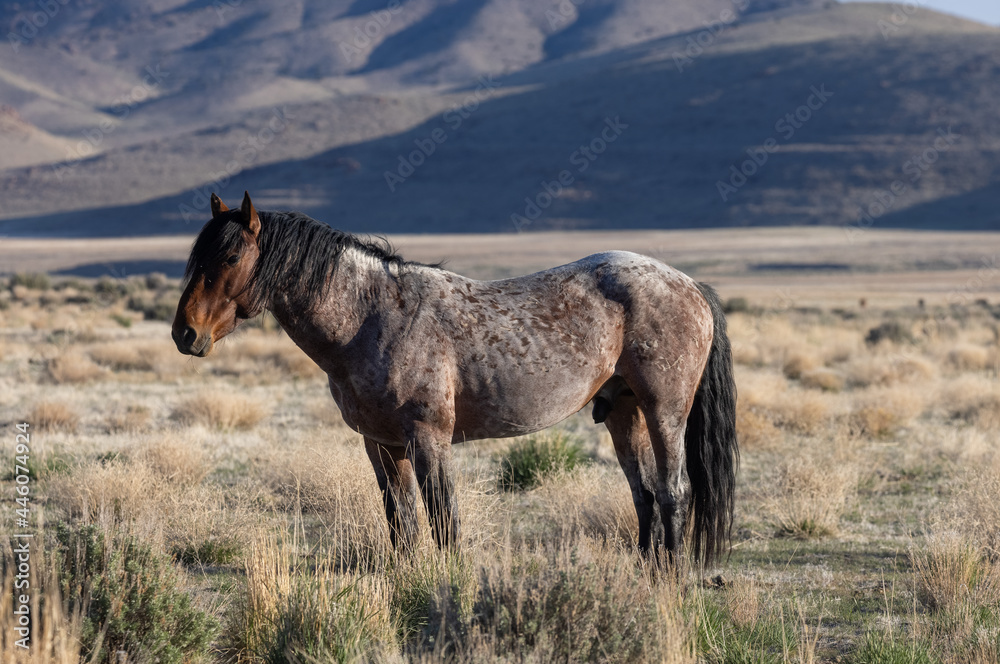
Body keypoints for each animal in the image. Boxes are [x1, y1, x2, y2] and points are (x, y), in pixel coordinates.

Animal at [172, 191, 740, 564]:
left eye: (229, 255)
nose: (185, 332)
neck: (371, 316)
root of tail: (689, 284)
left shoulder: (429, 440)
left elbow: (443, 521)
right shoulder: (381, 446)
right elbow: (401, 523)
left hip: (664, 412)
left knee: (673, 492)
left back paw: (673, 580)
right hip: (624, 412)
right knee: (644, 494)